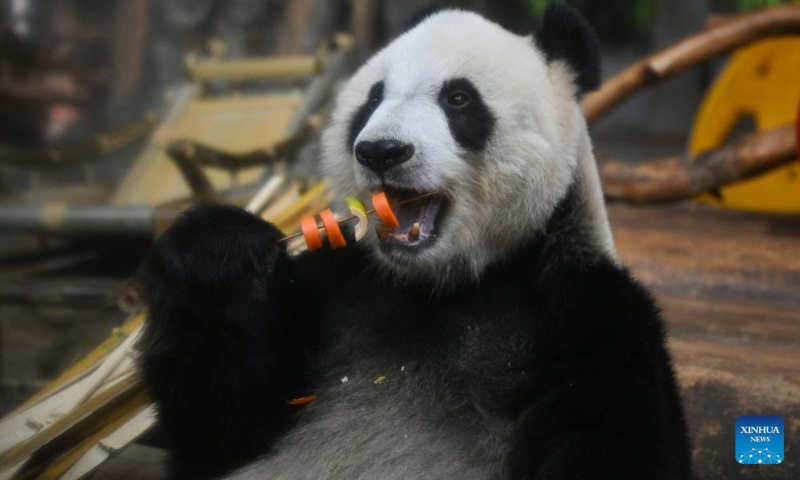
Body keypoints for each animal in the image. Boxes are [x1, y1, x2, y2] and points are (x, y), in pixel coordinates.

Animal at [136, 4, 688, 480]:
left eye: (458, 98)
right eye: (372, 100)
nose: (382, 151)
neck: (447, 282)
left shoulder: (585, 308)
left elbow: (608, 437)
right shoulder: (336, 284)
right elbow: (224, 430)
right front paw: (216, 256)